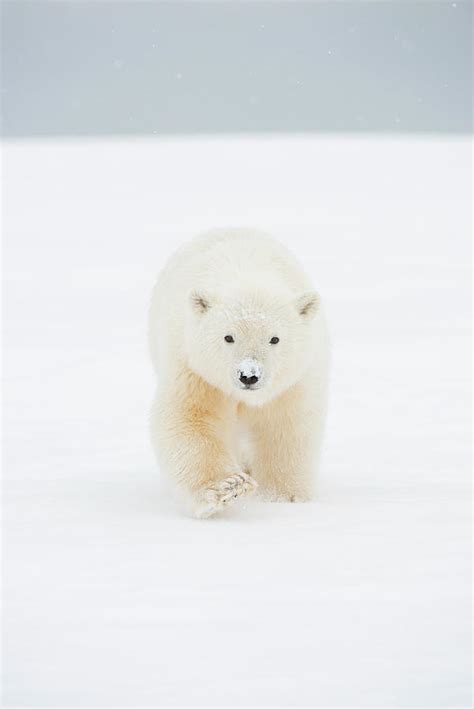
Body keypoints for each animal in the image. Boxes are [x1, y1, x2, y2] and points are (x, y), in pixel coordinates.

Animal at [149, 230, 330, 516]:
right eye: (228, 337)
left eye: (275, 339)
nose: (249, 375)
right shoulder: (195, 369)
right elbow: (191, 417)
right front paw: (229, 487)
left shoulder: (294, 380)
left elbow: (285, 426)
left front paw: (284, 497)